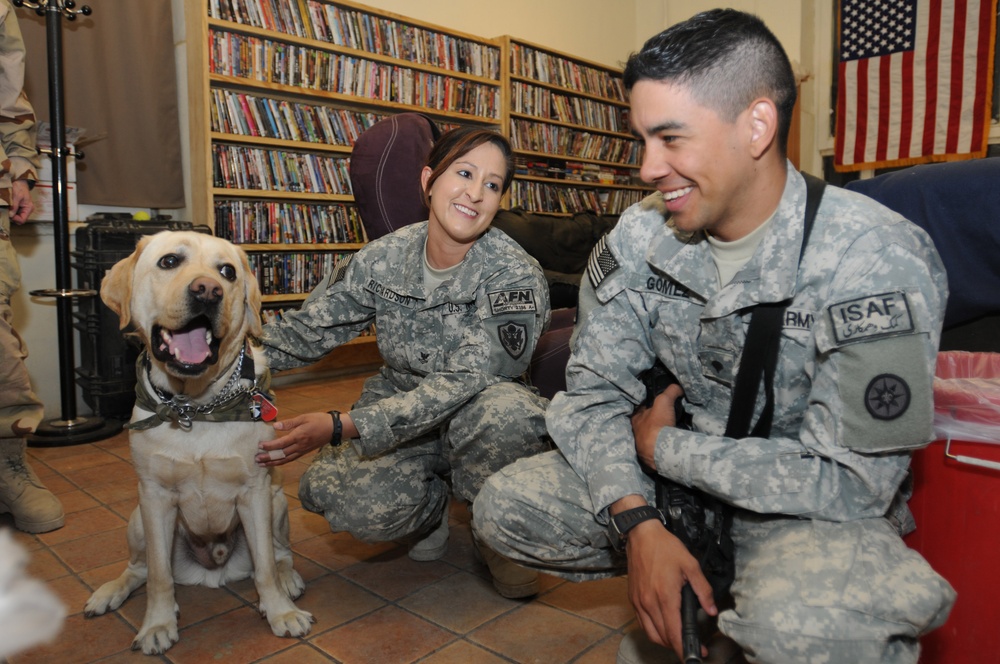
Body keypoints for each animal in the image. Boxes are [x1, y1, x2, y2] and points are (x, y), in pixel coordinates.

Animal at [85, 232, 312, 652]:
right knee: (139, 570)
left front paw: (280, 612)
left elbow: (265, 569)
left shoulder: (256, 492)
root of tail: (212, 569)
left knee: (279, 555)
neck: (196, 406)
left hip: (277, 504)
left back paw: (288, 580)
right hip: (137, 520)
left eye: (227, 272)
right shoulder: (155, 497)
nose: (208, 290)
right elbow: (160, 577)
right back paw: (109, 593)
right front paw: (157, 624)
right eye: (169, 261)